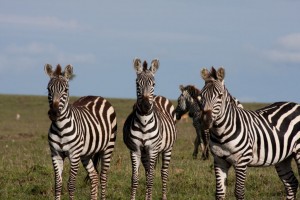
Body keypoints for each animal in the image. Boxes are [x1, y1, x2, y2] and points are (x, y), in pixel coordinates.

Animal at [44, 64, 117, 200]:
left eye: (66, 90)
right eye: (48, 89)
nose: (54, 113)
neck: (61, 128)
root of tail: (97, 96)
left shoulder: (74, 154)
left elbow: (71, 184)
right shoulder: (56, 154)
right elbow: (58, 184)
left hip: (108, 147)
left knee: (103, 177)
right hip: (86, 154)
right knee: (94, 176)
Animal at [123, 58, 177, 200]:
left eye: (153, 84)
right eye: (137, 84)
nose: (146, 106)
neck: (144, 122)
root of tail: (159, 96)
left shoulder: (153, 149)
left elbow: (151, 179)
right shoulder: (135, 150)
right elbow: (135, 178)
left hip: (167, 148)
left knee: (163, 173)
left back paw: (163, 196)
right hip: (144, 153)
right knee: (148, 171)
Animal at [198, 66, 300, 199]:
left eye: (220, 96)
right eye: (201, 96)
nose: (205, 121)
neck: (221, 133)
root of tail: (295, 104)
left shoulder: (242, 161)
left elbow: (239, 192)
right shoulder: (219, 161)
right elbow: (219, 193)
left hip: (298, 151)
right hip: (283, 158)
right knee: (291, 184)